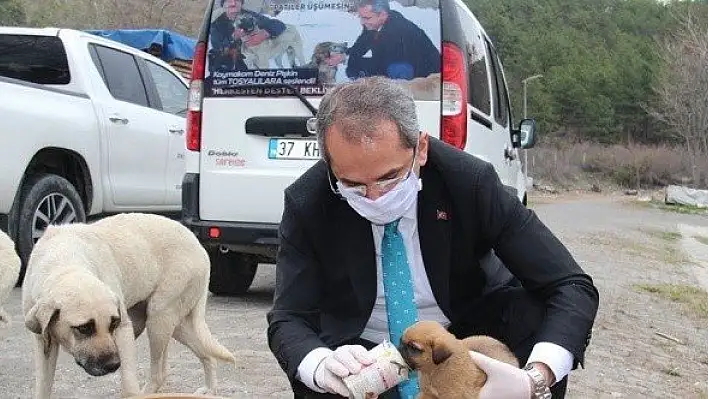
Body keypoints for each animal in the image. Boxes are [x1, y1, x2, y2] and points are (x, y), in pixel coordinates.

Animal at [22, 216, 236, 399]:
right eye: (83, 328)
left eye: (113, 324)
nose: (113, 365)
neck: (63, 262)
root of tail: (198, 244)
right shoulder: (44, 343)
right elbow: (42, 389)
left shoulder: (124, 329)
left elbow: (129, 388)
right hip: (175, 325)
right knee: (208, 356)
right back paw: (210, 390)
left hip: (159, 319)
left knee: (158, 374)